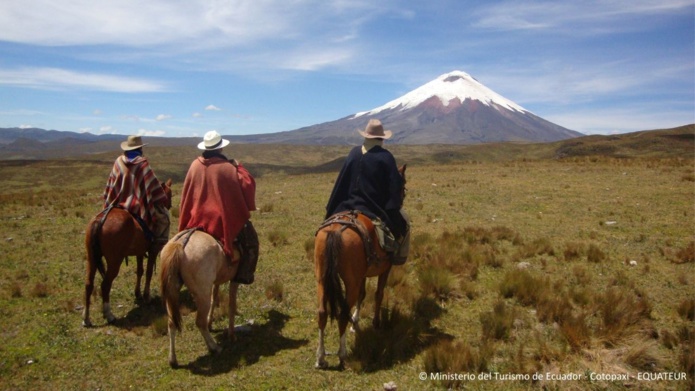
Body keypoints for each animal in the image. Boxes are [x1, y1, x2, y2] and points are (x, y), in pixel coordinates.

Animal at [82, 181, 173, 328]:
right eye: (170, 194)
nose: (169, 205)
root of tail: (99, 221)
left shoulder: (140, 252)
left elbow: (140, 271)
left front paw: (138, 294)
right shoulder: (153, 251)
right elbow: (148, 272)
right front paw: (146, 296)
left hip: (92, 258)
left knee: (88, 284)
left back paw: (86, 318)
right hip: (114, 261)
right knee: (105, 285)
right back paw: (109, 315)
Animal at [160, 228, 242, 370]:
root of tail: (180, 243)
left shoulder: (216, 282)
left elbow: (215, 297)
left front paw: (211, 323)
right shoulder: (235, 279)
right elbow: (231, 304)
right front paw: (232, 335)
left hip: (172, 294)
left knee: (172, 323)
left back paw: (173, 360)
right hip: (202, 295)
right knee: (199, 322)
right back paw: (214, 348)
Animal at [314, 165, 406, 370]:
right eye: (403, 184)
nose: (403, 197)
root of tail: (335, 230)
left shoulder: (362, 274)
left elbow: (363, 295)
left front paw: (355, 322)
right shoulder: (385, 269)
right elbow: (378, 294)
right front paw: (376, 323)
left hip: (322, 278)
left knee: (322, 313)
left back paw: (321, 358)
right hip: (350, 282)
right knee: (341, 314)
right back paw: (342, 355)